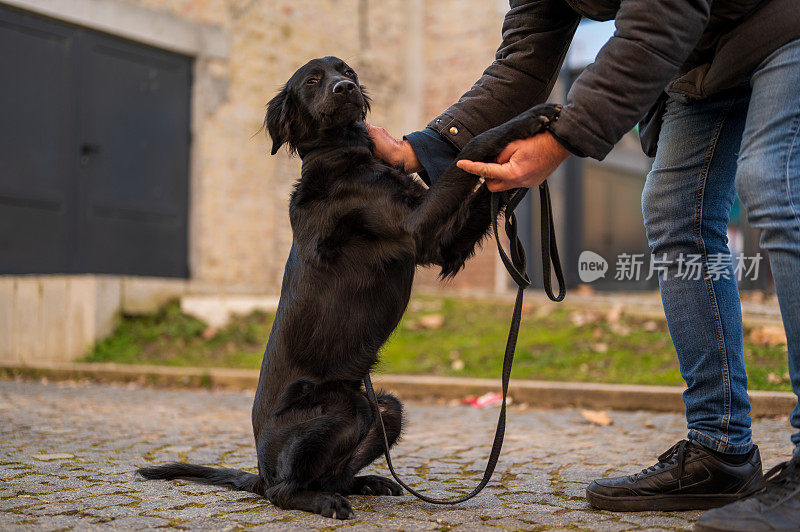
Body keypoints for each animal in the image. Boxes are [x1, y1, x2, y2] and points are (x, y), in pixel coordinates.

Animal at [138, 57, 560, 520]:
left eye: (348, 71)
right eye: (312, 80)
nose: (345, 89)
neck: (345, 155)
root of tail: (261, 473)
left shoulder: (443, 246)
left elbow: (482, 186)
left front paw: (520, 168)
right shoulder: (417, 230)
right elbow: (470, 150)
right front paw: (527, 121)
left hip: (384, 408)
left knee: (333, 470)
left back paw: (366, 483)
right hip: (333, 413)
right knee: (284, 491)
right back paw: (325, 501)